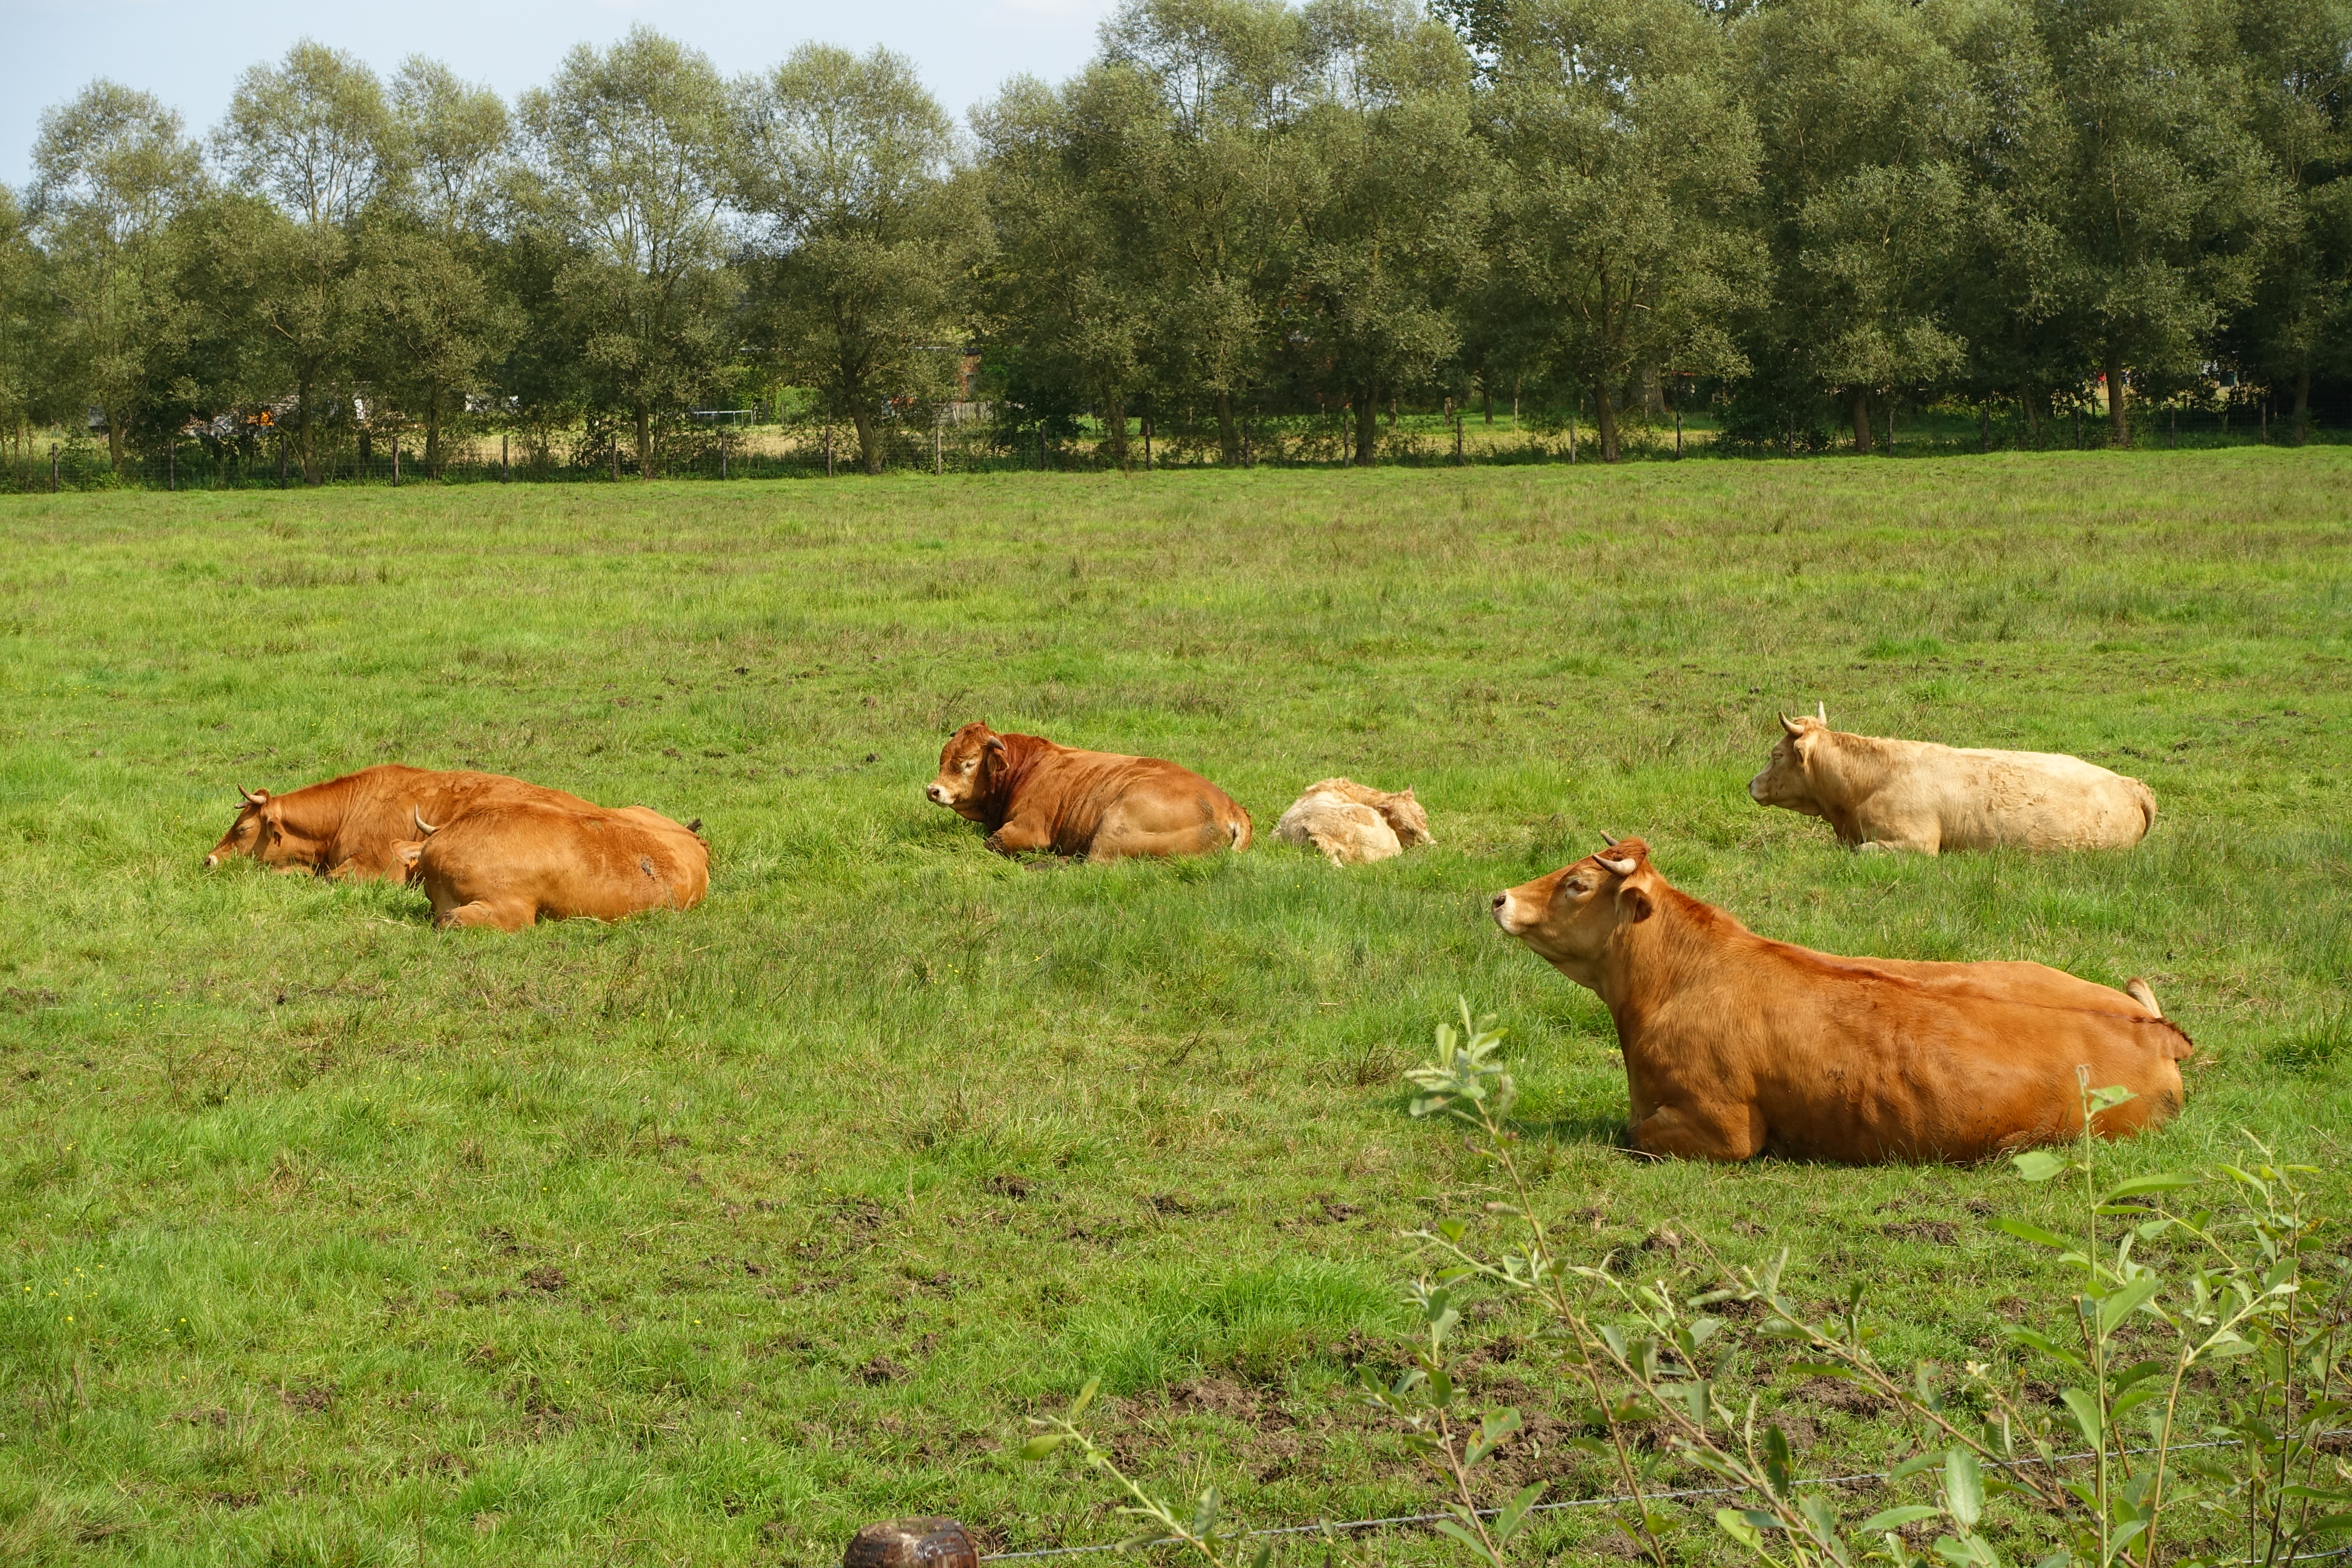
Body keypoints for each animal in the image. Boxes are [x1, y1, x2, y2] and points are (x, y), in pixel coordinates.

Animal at [924, 721, 1252, 860]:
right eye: (943, 758)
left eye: (969, 763)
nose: (933, 790)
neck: (1027, 769)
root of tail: (1231, 806)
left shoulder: (1028, 830)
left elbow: (991, 844)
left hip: (1115, 824)